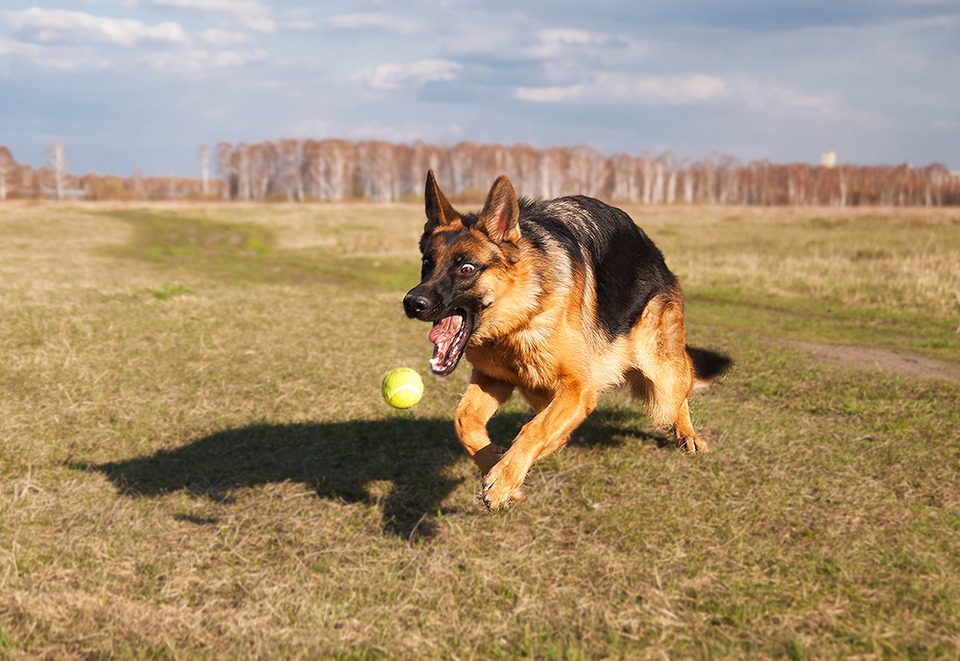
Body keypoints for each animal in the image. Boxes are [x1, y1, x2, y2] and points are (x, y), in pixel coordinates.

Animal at [404, 171, 728, 510]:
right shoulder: (494, 379)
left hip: (660, 371)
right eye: (427, 263)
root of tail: (656, 255)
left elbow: (534, 428)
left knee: (681, 385)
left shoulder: (578, 388)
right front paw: (503, 475)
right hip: (539, 386)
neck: (520, 317)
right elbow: (464, 422)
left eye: (467, 268)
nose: (413, 303)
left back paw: (687, 433)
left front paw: (503, 479)